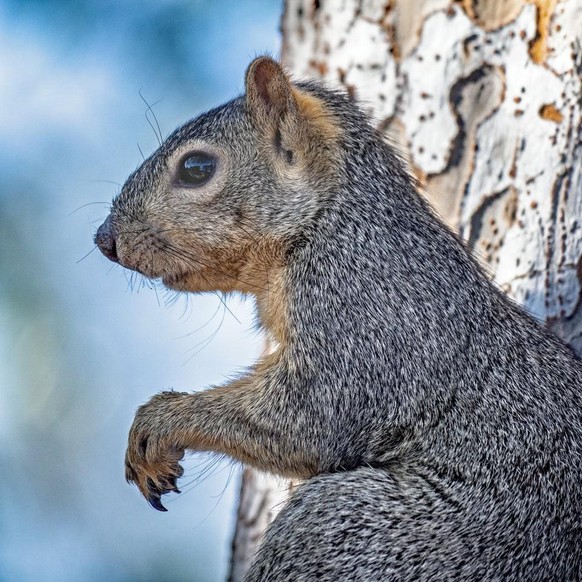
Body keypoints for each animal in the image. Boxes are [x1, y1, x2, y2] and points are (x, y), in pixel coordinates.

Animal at [97, 57, 582, 580]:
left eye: (197, 168)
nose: (104, 239)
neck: (331, 224)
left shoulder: (365, 317)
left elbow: (313, 416)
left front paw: (162, 418)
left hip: (349, 529)